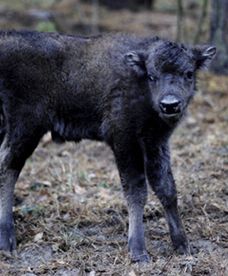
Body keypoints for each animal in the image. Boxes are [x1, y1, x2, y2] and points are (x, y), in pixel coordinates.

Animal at [0, 31, 216, 262]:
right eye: (152, 76)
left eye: (189, 73)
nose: (170, 104)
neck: (139, 82)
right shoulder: (124, 140)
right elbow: (136, 190)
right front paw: (138, 251)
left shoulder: (156, 143)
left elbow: (166, 188)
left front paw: (183, 245)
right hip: (25, 127)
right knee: (8, 166)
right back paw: (7, 240)